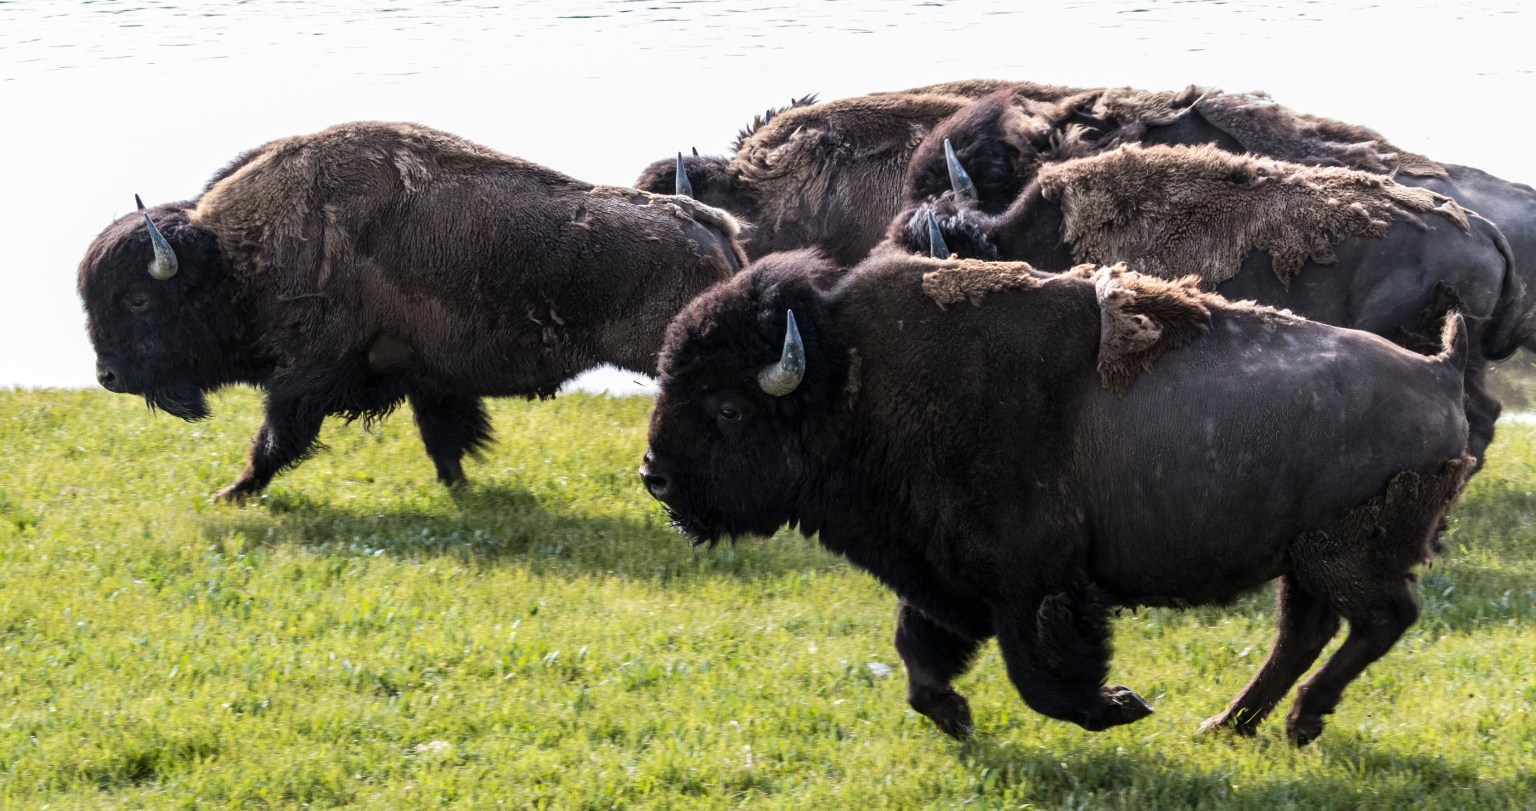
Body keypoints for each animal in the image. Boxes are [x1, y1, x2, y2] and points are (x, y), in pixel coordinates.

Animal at [80, 121, 747, 500]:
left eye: (138, 299)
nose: (107, 376)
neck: (237, 255)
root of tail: (706, 220)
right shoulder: (431, 377)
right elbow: (444, 437)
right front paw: (461, 489)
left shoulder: (309, 374)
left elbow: (277, 435)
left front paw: (233, 492)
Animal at [641, 249, 1473, 745]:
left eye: (728, 407)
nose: (654, 474)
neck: (851, 379)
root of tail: (1439, 374)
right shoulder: (942, 575)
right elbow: (919, 650)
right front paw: (955, 717)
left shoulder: (1033, 583)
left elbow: (1038, 675)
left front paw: (1120, 704)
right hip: (1300, 562)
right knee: (1305, 634)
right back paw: (1229, 724)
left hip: (1343, 557)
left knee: (1379, 621)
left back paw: (1294, 721)